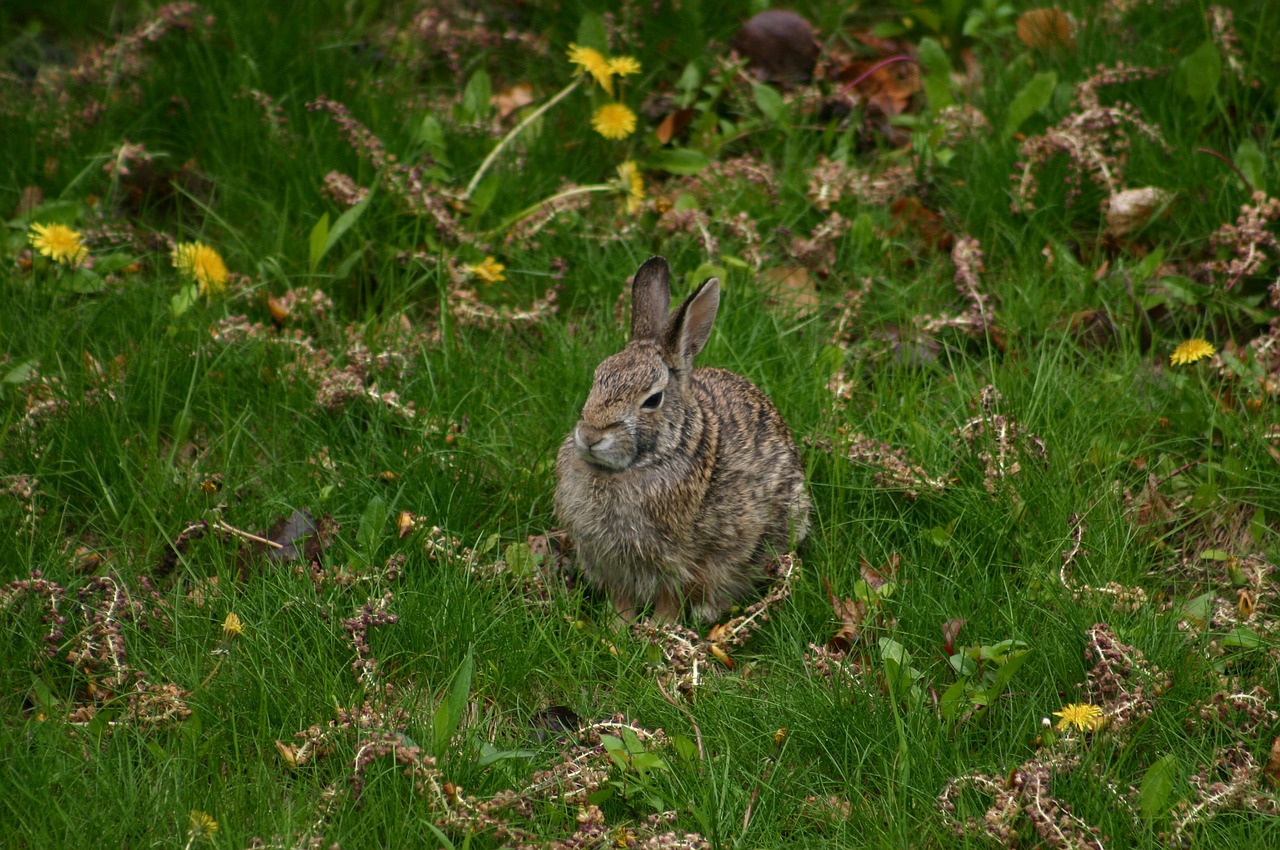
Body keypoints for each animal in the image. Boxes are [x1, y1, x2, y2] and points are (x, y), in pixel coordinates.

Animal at [552, 256, 808, 622]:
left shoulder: (682, 563)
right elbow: (621, 601)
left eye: (652, 400)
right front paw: (616, 628)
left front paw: (658, 630)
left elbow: (671, 599)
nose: (590, 436)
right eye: (598, 378)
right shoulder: (611, 563)